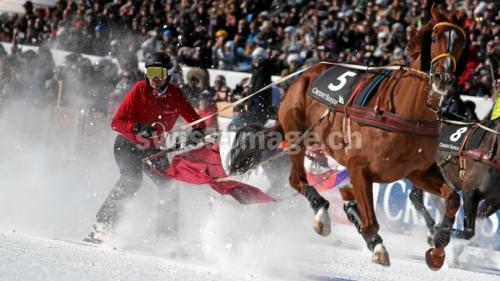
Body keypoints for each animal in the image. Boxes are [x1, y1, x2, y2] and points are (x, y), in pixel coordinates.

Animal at [229, 5, 466, 270]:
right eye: (435, 38)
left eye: (462, 42)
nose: (443, 79)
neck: (407, 114)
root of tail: (305, 75)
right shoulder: (359, 168)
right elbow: (369, 220)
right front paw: (377, 244)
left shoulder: (417, 172)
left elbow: (452, 198)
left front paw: (438, 247)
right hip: (296, 137)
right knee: (297, 179)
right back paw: (322, 213)